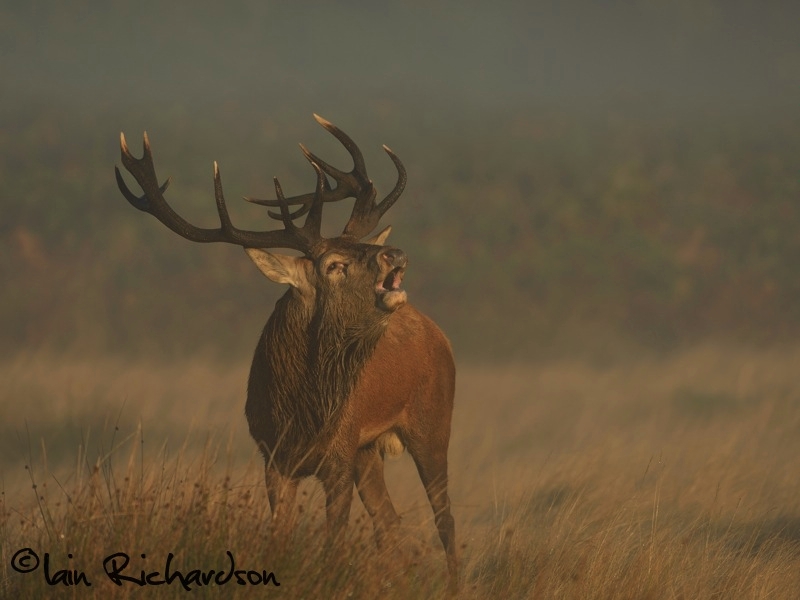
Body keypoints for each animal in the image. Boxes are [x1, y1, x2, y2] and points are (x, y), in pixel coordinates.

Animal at [115, 115, 457, 590]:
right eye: (334, 264)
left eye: (365, 248)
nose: (396, 252)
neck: (301, 416)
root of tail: (436, 331)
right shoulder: (272, 457)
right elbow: (279, 539)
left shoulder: (338, 456)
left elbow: (334, 545)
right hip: (369, 451)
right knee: (390, 523)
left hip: (433, 421)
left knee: (446, 523)